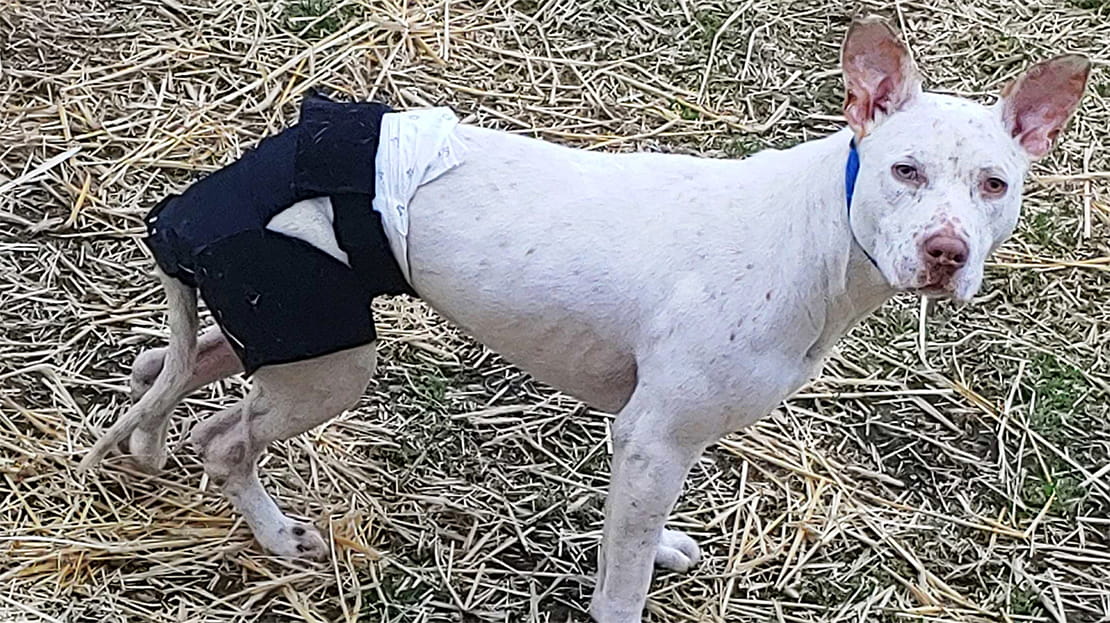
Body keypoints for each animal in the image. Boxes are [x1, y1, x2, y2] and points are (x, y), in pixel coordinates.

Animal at [82, 17, 1087, 617]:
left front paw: (665, 544)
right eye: (904, 170)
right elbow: (622, 580)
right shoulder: (655, 435)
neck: (823, 231)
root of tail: (202, 198)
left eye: (995, 184)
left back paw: (152, 443)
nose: (947, 252)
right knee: (225, 436)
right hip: (327, 362)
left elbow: (633, 539)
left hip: (292, 332)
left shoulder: (643, 431)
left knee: (164, 369)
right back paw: (272, 530)